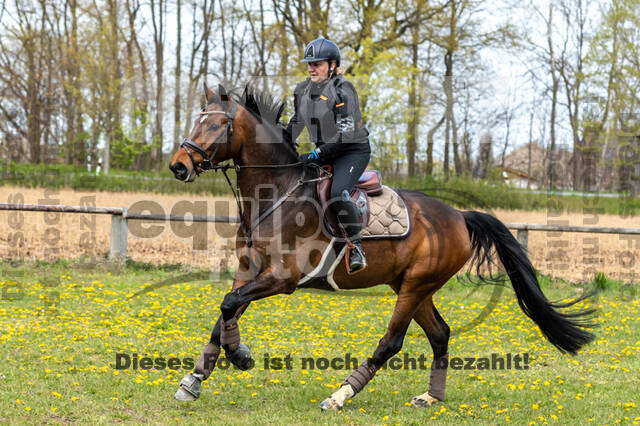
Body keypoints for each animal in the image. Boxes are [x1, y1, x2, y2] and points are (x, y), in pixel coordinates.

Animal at [166, 84, 596, 410]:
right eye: (197, 119)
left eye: (217, 124)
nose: (179, 165)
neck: (276, 194)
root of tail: (459, 216)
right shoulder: (249, 270)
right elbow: (226, 310)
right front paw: (196, 378)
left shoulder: (282, 278)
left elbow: (228, 305)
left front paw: (239, 357)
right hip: (411, 286)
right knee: (440, 333)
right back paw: (431, 397)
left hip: (416, 285)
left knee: (391, 342)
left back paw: (340, 395)